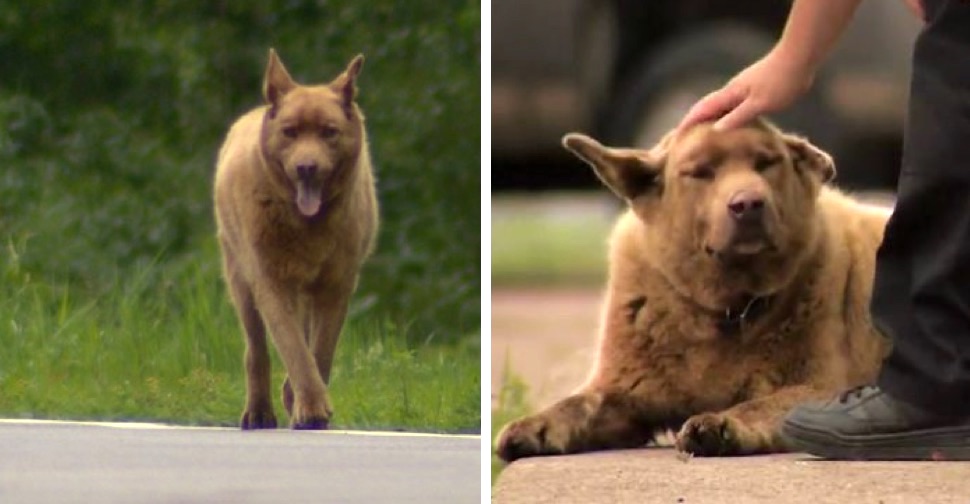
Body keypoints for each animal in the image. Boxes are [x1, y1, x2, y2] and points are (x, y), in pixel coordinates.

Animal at [216, 50, 378, 430]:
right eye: (289, 132)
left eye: (329, 132)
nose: (306, 167)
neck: (307, 225)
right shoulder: (270, 280)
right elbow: (293, 347)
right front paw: (311, 406)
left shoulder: (337, 284)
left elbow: (319, 351)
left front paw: (304, 402)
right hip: (239, 276)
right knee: (256, 350)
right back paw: (259, 412)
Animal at [496, 119, 888, 460]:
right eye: (701, 172)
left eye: (766, 163)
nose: (748, 203)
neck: (727, 309)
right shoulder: (623, 392)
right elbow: (577, 403)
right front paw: (533, 425)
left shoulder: (822, 387)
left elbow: (760, 404)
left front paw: (722, 424)